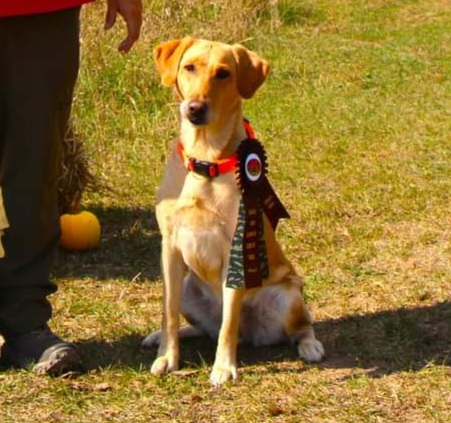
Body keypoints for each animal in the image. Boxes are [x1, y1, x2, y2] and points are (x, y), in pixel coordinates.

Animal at [142, 37, 324, 386]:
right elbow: (167, 311)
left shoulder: (235, 252)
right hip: (189, 288)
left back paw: (311, 346)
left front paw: (223, 367)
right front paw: (167, 356)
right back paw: (160, 337)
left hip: (289, 295)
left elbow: (229, 322)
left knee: (298, 326)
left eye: (223, 74)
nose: (195, 108)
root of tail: (250, 334)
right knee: (203, 327)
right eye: (190, 67)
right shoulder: (169, 248)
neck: (205, 159)